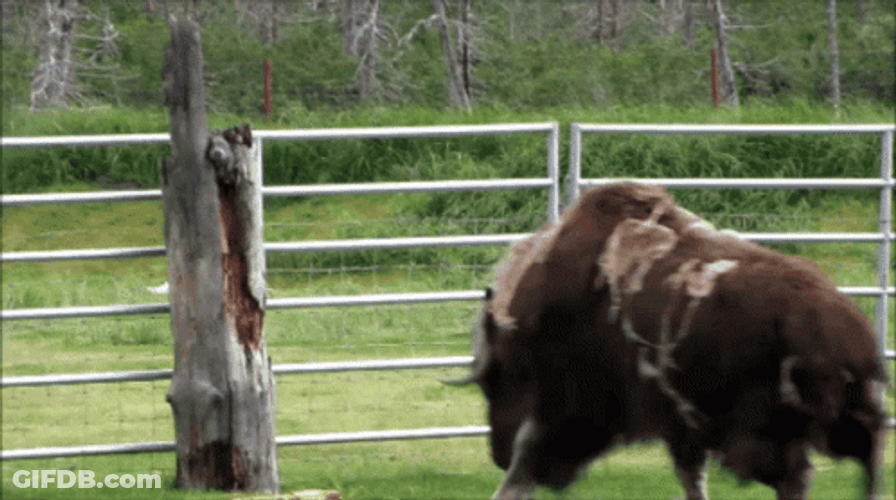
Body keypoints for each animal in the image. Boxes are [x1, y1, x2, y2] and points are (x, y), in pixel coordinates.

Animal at [450, 182, 888, 500]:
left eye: (496, 378)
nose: (497, 453)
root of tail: (846, 332)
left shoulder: (569, 415)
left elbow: (524, 470)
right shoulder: (681, 428)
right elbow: (692, 479)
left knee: (800, 478)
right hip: (842, 425)